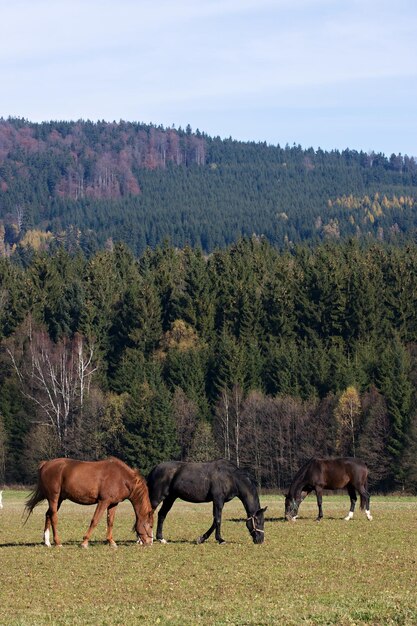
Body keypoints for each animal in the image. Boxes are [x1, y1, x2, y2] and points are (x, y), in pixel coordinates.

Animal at [23, 454, 153, 544]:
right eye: (150, 526)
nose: (150, 542)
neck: (121, 477)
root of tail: (46, 464)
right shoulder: (103, 502)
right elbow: (95, 520)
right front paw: (84, 542)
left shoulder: (113, 504)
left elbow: (110, 522)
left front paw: (111, 542)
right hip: (53, 498)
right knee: (53, 516)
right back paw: (58, 542)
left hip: (58, 499)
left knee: (48, 515)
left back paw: (47, 542)